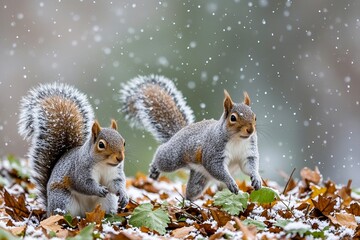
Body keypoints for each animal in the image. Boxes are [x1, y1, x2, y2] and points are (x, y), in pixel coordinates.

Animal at [18, 83, 129, 218]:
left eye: (124, 142)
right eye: (101, 145)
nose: (120, 158)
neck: (104, 164)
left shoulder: (115, 173)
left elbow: (116, 184)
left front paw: (124, 195)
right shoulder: (79, 170)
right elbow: (83, 184)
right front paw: (99, 189)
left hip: (107, 201)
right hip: (63, 200)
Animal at [120, 75, 262, 201]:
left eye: (255, 117)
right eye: (233, 118)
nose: (250, 130)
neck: (238, 139)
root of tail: (178, 133)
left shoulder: (248, 152)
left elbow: (249, 166)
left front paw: (257, 178)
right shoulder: (213, 152)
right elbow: (216, 168)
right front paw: (231, 182)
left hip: (199, 178)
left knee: (191, 191)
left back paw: (189, 202)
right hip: (172, 158)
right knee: (161, 155)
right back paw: (154, 169)